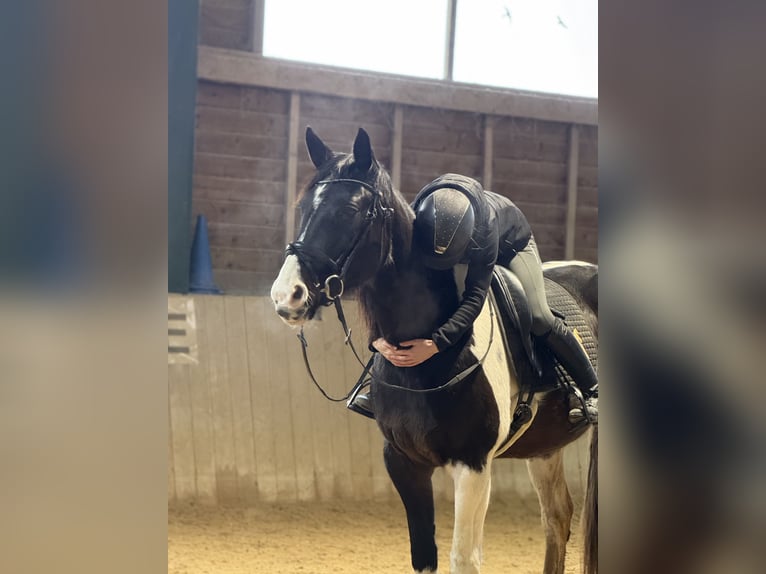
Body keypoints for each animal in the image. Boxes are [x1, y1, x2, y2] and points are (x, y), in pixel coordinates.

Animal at [271, 127, 598, 574]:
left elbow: (464, 558)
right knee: (557, 518)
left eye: (350, 211)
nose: (287, 295)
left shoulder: (473, 466)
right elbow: (424, 555)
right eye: (304, 207)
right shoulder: (403, 462)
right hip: (545, 447)